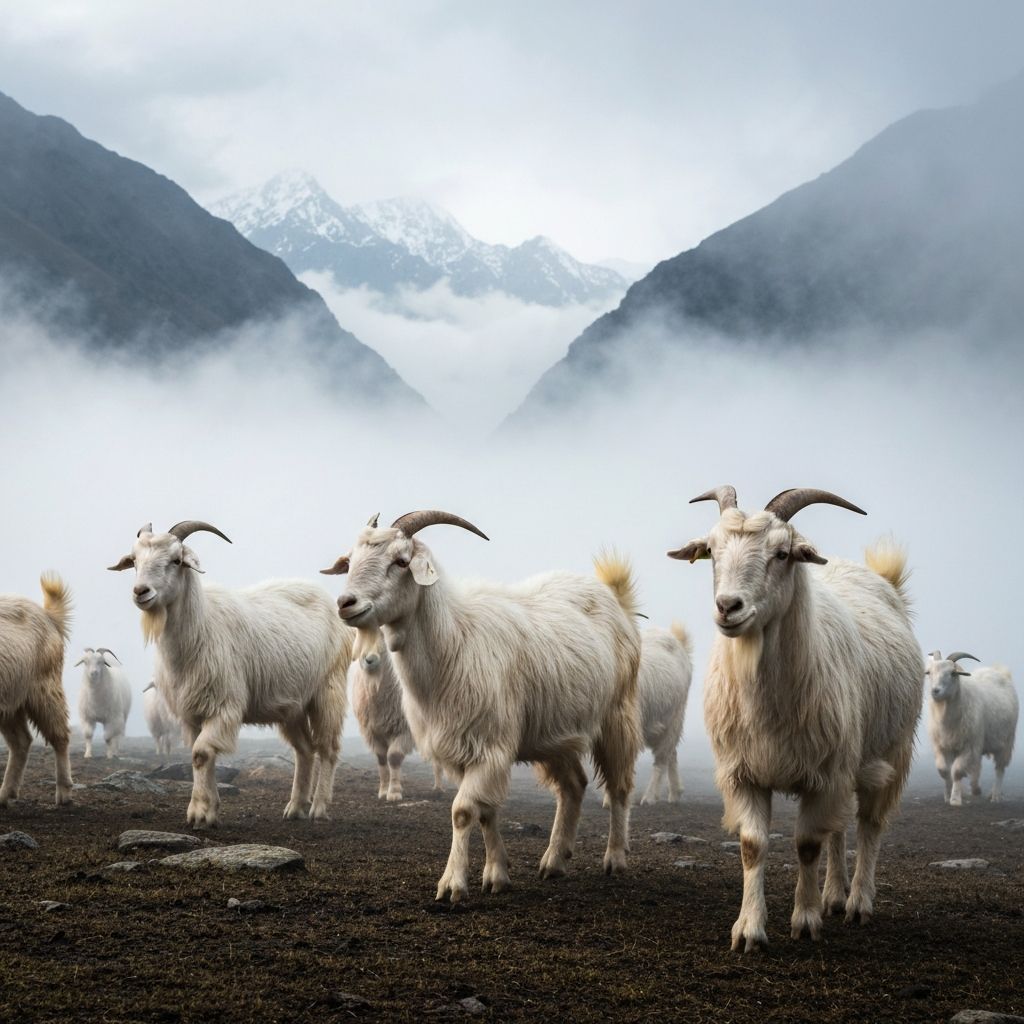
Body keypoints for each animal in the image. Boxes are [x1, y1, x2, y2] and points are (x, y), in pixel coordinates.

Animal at [669, 486, 922, 951]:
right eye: (710, 550)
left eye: (782, 553)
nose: (728, 607)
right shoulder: (744, 773)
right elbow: (753, 846)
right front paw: (749, 929)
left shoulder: (823, 776)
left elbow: (807, 845)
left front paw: (804, 921)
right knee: (839, 829)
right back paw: (834, 896)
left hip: (889, 754)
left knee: (869, 824)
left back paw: (858, 902)